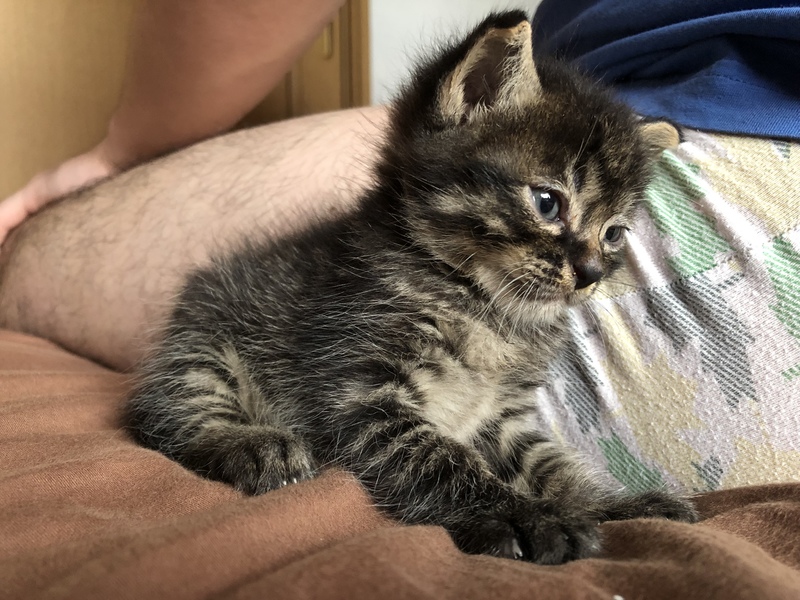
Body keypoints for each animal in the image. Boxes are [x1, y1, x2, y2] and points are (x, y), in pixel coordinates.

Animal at [127, 10, 697, 564]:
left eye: (615, 233)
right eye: (547, 202)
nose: (592, 273)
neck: (486, 308)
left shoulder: (503, 416)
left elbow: (551, 464)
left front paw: (612, 505)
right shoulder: (360, 393)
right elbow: (440, 458)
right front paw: (523, 516)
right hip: (205, 341)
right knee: (166, 409)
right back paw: (250, 443)